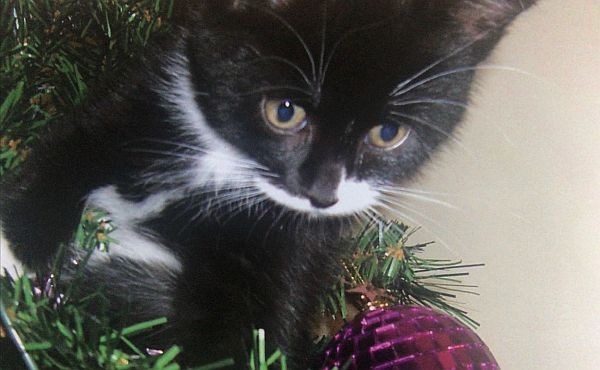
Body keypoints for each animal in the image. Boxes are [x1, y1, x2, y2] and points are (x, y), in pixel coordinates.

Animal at [0, 0, 536, 368]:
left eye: (388, 133)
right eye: (284, 111)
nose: (322, 194)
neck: (225, 161)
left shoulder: (293, 245)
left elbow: (260, 322)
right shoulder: (146, 91)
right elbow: (74, 144)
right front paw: (18, 253)